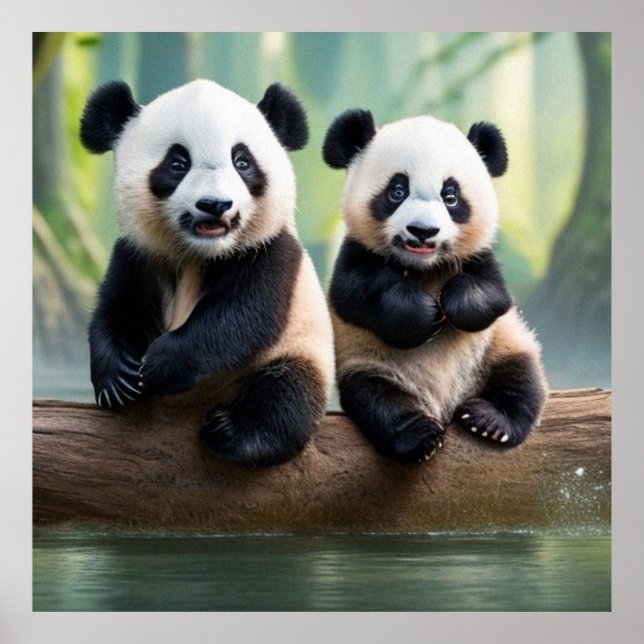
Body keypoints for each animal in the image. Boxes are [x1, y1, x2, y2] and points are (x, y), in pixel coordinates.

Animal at [80, 79, 334, 466]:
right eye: (177, 163)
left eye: (242, 162)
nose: (215, 205)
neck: (200, 253)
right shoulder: (138, 254)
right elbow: (119, 307)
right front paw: (116, 377)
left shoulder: (272, 253)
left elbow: (242, 318)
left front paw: (159, 364)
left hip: (301, 351)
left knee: (287, 394)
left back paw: (234, 432)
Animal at [323, 109, 548, 464]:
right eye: (397, 191)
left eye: (450, 196)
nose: (423, 231)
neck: (423, 269)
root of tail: (446, 402)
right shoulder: (354, 257)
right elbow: (354, 296)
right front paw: (424, 314)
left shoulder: (483, 261)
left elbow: (494, 297)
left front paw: (453, 304)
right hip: (370, 363)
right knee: (379, 401)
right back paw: (420, 435)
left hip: (501, 346)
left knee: (520, 378)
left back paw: (492, 420)